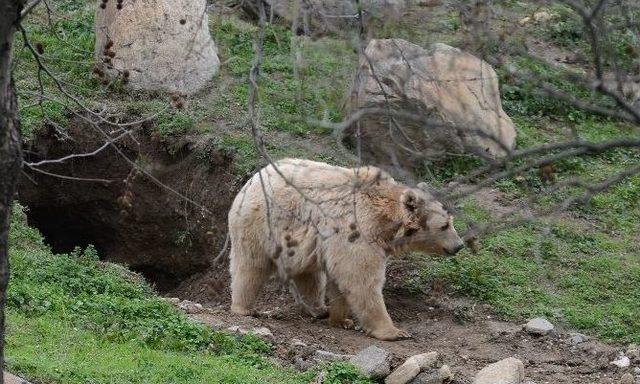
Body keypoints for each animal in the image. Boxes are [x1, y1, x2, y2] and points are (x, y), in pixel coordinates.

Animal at [228, 158, 462, 340]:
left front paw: (342, 319)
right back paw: (245, 307)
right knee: (251, 266)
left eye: (451, 221)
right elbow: (361, 278)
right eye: (444, 225)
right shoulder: (358, 231)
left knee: (310, 275)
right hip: (261, 224)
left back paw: (319, 309)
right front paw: (394, 331)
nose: (459, 245)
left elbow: (341, 278)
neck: (385, 221)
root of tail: (251, 181)